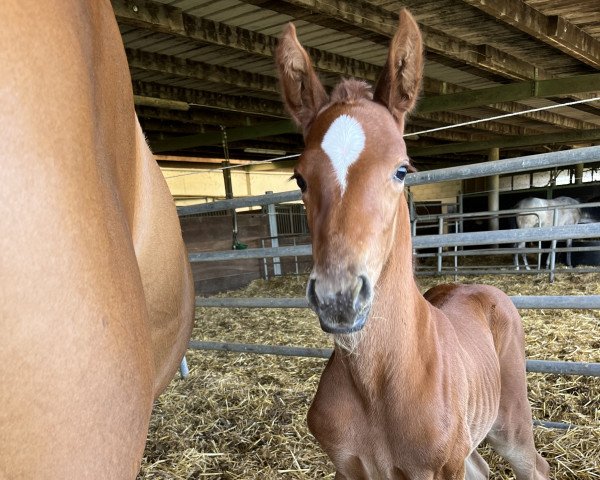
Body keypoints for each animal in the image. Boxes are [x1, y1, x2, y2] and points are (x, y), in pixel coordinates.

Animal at [274, 8, 552, 480]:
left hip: (509, 423)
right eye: (299, 179)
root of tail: (483, 289)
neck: (376, 386)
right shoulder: (349, 468)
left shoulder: (440, 468)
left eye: (402, 170)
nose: (338, 299)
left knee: (535, 466)